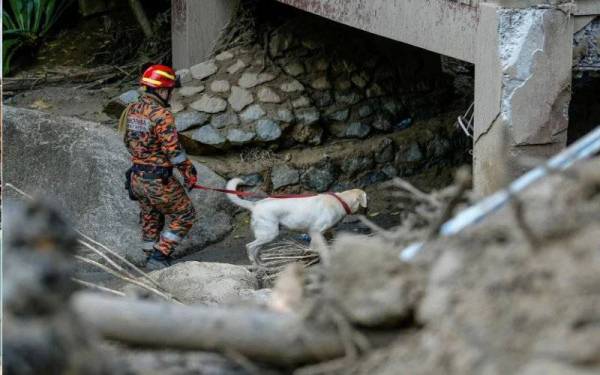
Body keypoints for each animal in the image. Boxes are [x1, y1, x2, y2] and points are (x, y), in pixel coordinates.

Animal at [225, 179, 366, 264]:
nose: (367, 210)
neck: (340, 201)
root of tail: (255, 205)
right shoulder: (315, 231)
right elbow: (319, 248)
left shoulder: (318, 233)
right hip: (269, 234)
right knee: (249, 247)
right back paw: (255, 264)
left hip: (265, 235)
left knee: (256, 250)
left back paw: (261, 265)